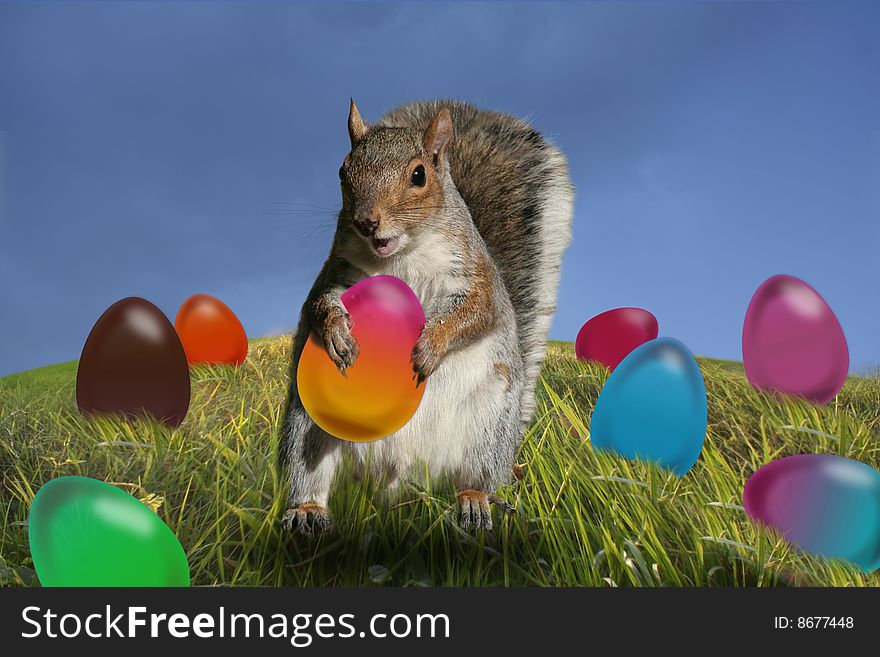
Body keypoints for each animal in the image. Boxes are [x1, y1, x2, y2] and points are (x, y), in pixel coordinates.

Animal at [278, 101, 576, 532]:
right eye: (343, 172)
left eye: (418, 175)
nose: (367, 221)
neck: (400, 253)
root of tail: (401, 480)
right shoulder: (337, 274)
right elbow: (318, 304)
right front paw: (337, 335)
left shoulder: (475, 277)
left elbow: (475, 313)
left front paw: (429, 348)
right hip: (308, 424)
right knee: (310, 475)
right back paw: (306, 510)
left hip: (489, 428)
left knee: (479, 477)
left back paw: (474, 501)